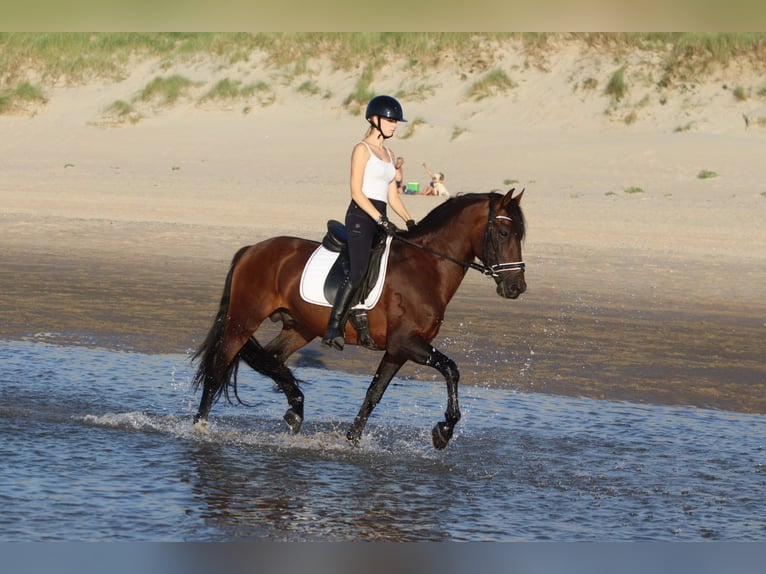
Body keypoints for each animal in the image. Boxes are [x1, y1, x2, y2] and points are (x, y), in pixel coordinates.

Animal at [192, 189, 528, 450]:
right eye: (504, 233)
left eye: (520, 235)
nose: (516, 288)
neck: (427, 266)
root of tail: (253, 249)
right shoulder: (407, 342)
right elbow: (451, 369)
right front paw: (443, 431)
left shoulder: (397, 350)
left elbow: (374, 393)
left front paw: (352, 438)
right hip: (243, 320)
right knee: (220, 366)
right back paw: (200, 426)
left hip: (300, 327)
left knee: (270, 359)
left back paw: (296, 409)